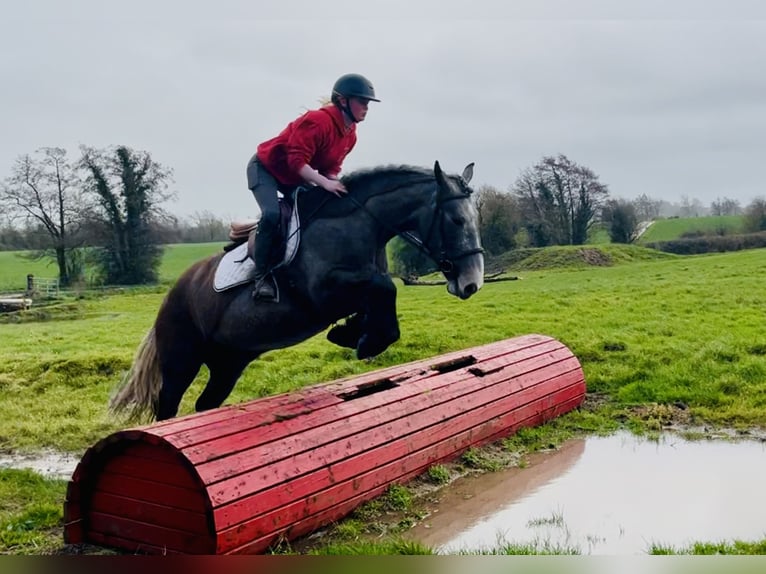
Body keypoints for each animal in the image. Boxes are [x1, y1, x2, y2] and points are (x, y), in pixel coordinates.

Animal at [109, 161, 485, 421]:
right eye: (456, 220)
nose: (472, 283)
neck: (360, 223)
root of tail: (171, 296)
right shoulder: (322, 292)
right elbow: (385, 288)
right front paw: (363, 341)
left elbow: (381, 302)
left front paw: (353, 334)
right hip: (181, 360)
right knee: (167, 406)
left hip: (229, 362)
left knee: (206, 403)